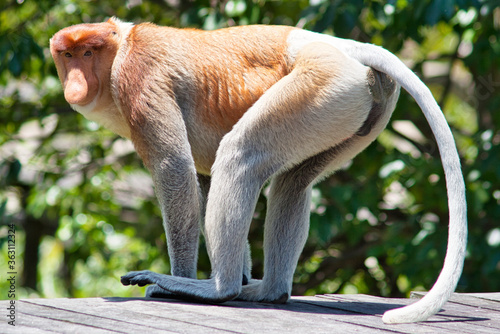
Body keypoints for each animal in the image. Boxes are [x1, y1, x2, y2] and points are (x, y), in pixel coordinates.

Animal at [48, 18, 466, 324]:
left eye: (88, 52)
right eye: (67, 55)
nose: (75, 84)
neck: (121, 48)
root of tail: (339, 46)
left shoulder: (140, 76)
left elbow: (175, 169)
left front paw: (177, 281)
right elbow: (202, 178)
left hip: (321, 84)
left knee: (241, 156)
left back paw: (219, 288)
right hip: (355, 108)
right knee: (293, 183)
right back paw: (267, 290)